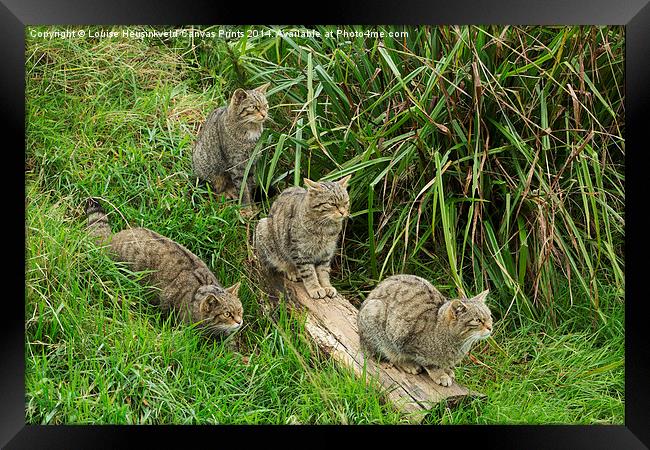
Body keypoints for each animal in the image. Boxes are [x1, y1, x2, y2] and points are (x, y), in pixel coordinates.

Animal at [354, 274, 492, 386]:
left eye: (490, 316)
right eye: (477, 320)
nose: (490, 327)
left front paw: (447, 370)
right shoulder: (410, 346)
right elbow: (431, 365)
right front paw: (440, 375)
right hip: (376, 320)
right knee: (388, 355)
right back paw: (408, 364)